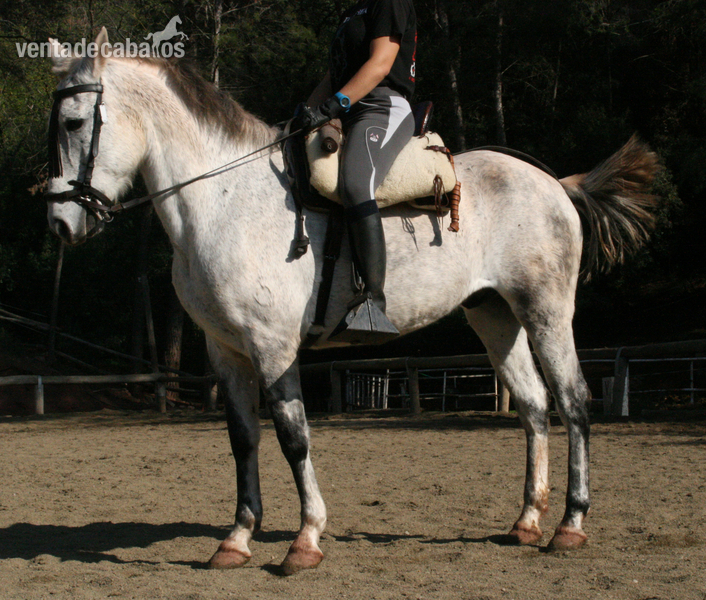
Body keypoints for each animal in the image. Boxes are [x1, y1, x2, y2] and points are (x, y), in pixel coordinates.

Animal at [45, 29, 659, 574]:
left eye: (74, 122)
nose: (60, 223)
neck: (224, 200)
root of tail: (554, 182)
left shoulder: (272, 347)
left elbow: (293, 437)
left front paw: (305, 540)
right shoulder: (227, 351)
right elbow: (243, 440)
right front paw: (236, 540)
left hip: (545, 312)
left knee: (574, 402)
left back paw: (570, 526)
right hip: (494, 316)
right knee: (533, 407)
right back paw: (527, 521)